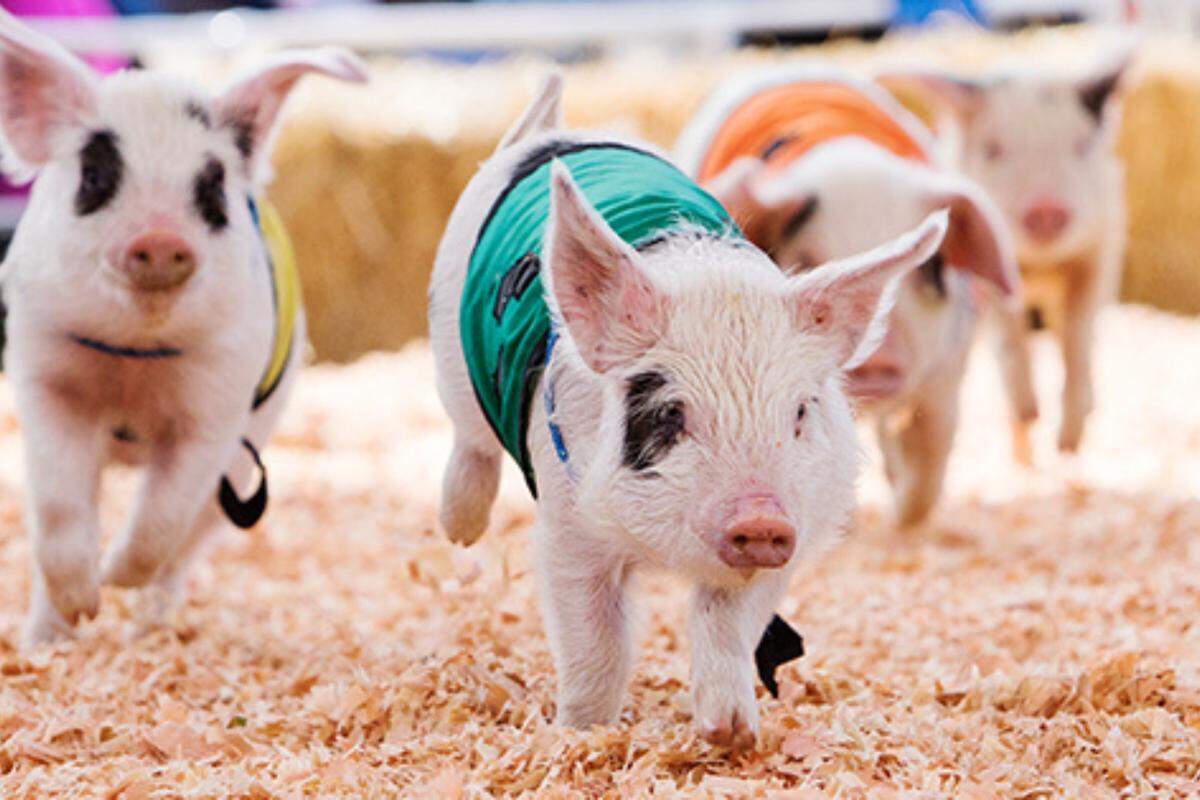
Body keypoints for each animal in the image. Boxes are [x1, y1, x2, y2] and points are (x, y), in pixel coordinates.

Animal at [0, 10, 367, 645]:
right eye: (95, 175)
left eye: (212, 185)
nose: (160, 238)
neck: (132, 358)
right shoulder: (45, 375)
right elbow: (58, 509)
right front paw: (83, 606)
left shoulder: (216, 405)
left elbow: (162, 517)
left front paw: (115, 579)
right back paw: (47, 640)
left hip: (245, 460)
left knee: (185, 548)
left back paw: (150, 625)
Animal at [429, 75, 948, 747]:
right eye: (670, 413)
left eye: (800, 411)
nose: (760, 516)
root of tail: (553, 132)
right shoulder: (570, 525)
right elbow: (595, 644)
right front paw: (581, 733)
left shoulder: (796, 530)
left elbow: (724, 621)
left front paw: (730, 733)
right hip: (448, 343)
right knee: (469, 438)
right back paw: (458, 530)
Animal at [674, 65, 1024, 525]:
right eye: (805, 260)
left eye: (927, 265)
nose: (878, 354)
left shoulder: (947, 367)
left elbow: (932, 452)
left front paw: (901, 520)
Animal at [877, 51, 1131, 453]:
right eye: (993, 149)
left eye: (1080, 145)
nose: (1045, 207)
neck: (1038, 265)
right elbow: (1009, 333)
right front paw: (1031, 414)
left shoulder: (1100, 248)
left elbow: (1077, 332)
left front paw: (1067, 443)